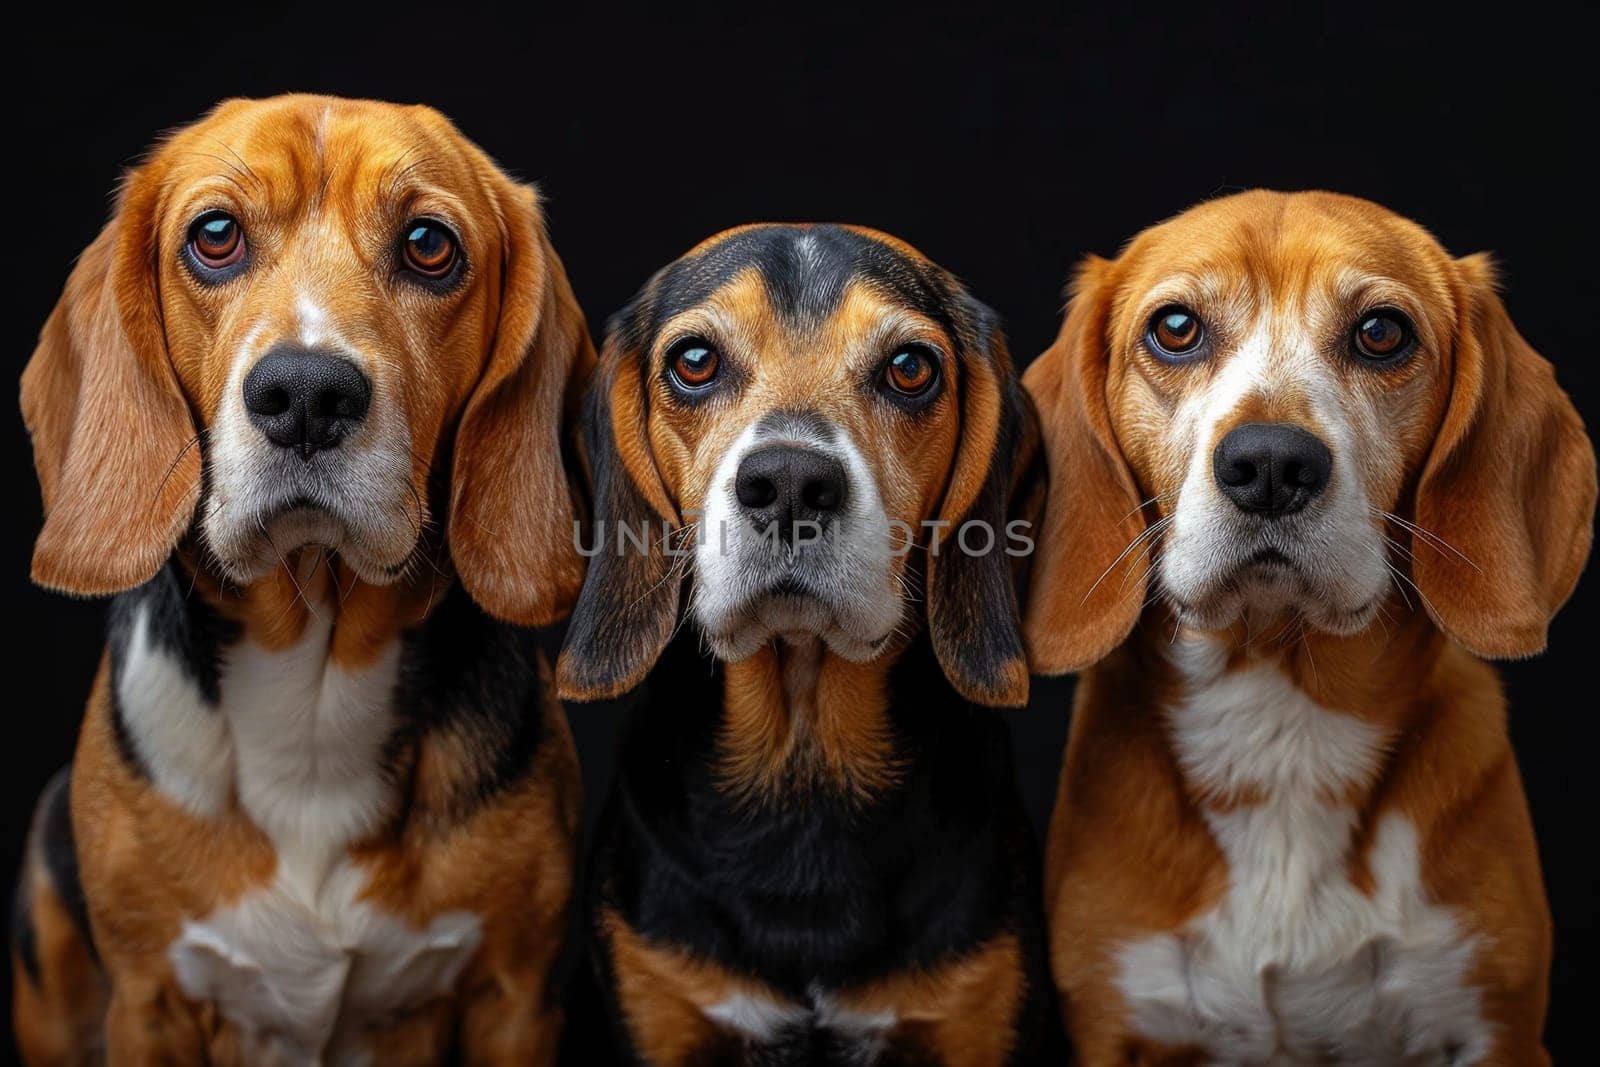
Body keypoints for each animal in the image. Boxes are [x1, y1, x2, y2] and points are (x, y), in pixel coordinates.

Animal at [7, 95, 595, 1062]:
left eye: (429, 245)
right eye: (215, 235)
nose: (307, 395)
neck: (312, 688)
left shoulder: (516, 997)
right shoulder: (149, 1002)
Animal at [550, 223, 1049, 1062]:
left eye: (910, 368)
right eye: (694, 360)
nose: (789, 482)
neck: (804, 755)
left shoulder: (972, 1015)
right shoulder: (663, 1008)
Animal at [1017, 194, 1593, 1067]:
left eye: (1382, 332)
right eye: (1175, 328)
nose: (1270, 464)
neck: (1280, 722)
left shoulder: (1495, 1026)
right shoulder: (1116, 1022)